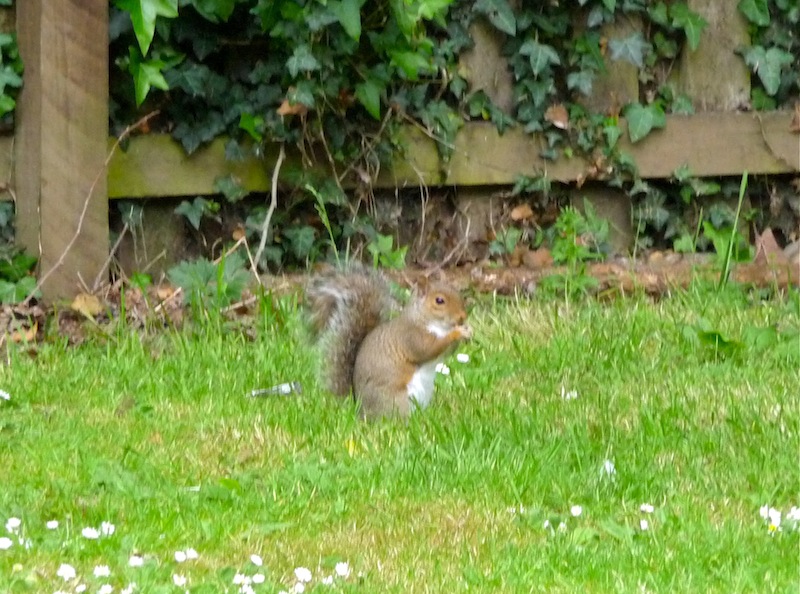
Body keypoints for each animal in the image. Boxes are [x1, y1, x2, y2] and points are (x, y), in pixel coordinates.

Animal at [306, 265, 472, 419]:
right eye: (439, 301)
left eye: (457, 293)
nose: (462, 317)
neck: (425, 320)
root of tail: (360, 409)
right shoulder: (411, 337)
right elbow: (429, 349)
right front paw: (457, 333)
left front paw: (467, 330)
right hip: (396, 400)